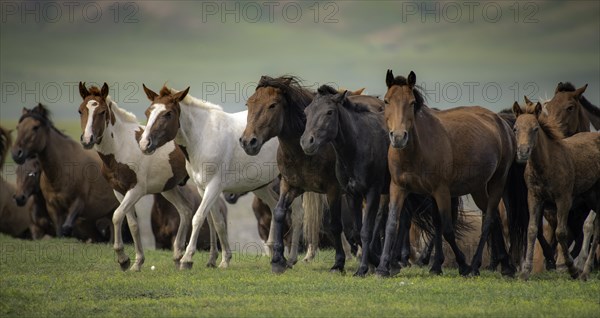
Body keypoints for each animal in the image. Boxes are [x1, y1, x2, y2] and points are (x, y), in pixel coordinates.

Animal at [11, 103, 118, 241]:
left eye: (35, 127)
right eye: (18, 127)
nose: (16, 153)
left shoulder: (78, 202)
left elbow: (66, 228)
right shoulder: (53, 207)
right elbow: (59, 231)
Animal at [79, 82, 227, 270]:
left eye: (102, 112)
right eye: (80, 110)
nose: (87, 139)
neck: (121, 147)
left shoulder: (136, 190)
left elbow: (117, 216)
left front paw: (123, 259)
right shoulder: (119, 191)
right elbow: (133, 224)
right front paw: (136, 262)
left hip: (202, 187)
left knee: (209, 217)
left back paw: (210, 259)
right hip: (169, 188)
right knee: (186, 210)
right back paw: (179, 254)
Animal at [138, 84, 302, 268]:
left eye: (168, 114)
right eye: (148, 112)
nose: (144, 144)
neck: (203, 138)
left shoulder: (214, 187)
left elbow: (198, 217)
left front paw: (187, 259)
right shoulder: (203, 189)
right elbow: (217, 222)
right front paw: (222, 260)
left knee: (297, 214)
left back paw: (292, 258)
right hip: (261, 186)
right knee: (275, 207)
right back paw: (275, 253)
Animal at [380, 69, 520, 276]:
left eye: (412, 102)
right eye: (386, 101)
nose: (398, 137)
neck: (417, 151)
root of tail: (501, 123)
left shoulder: (442, 191)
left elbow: (447, 229)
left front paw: (462, 264)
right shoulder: (399, 188)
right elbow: (392, 225)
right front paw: (383, 268)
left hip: (498, 181)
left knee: (488, 220)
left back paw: (475, 266)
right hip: (478, 188)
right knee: (493, 217)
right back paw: (505, 265)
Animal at [510, 102, 600, 280]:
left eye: (535, 128)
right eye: (515, 128)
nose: (523, 152)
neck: (547, 164)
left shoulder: (564, 199)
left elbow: (560, 232)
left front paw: (571, 268)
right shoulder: (534, 197)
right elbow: (532, 230)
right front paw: (525, 272)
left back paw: (584, 270)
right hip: (590, 198)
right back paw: (585, 271)